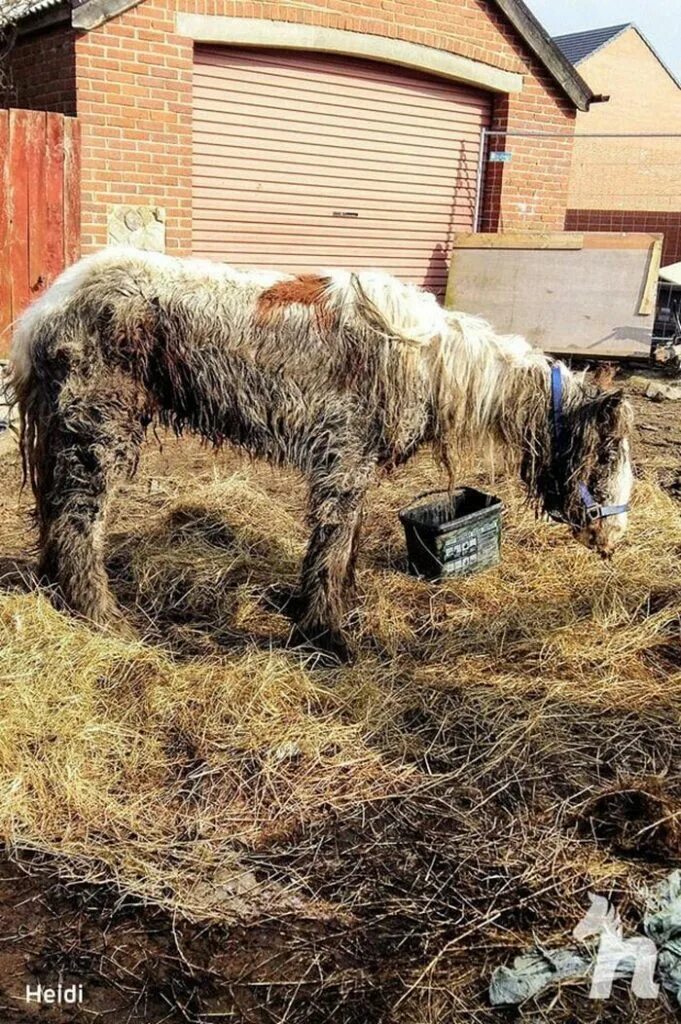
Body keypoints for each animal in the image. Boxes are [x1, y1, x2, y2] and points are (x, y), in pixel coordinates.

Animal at [9, 251, 630, 659]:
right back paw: (101, 618)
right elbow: (332, 546)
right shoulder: (344, 461)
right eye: (605, 457)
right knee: (76, 522)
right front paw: (327, 636)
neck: (430, 361)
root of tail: (47, 306)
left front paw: (333, 613)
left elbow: (344, 545)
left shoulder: (353, 467)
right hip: (99, 434)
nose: (616, 539)